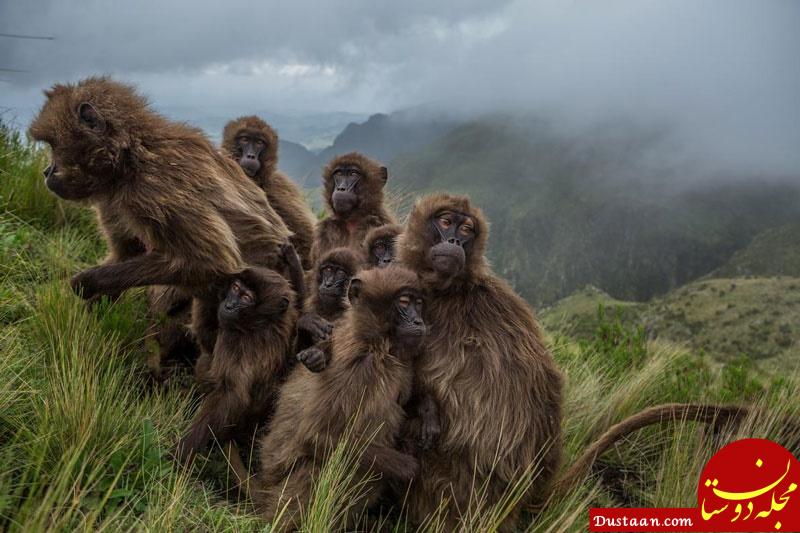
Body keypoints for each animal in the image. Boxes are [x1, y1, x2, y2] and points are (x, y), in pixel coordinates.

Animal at [178, 266, 296, 462]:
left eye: (247, 298)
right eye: (235, 288)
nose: (228, 305)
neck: (263, 323)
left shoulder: (233, 338)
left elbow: (232, 395)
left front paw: (184, 449)